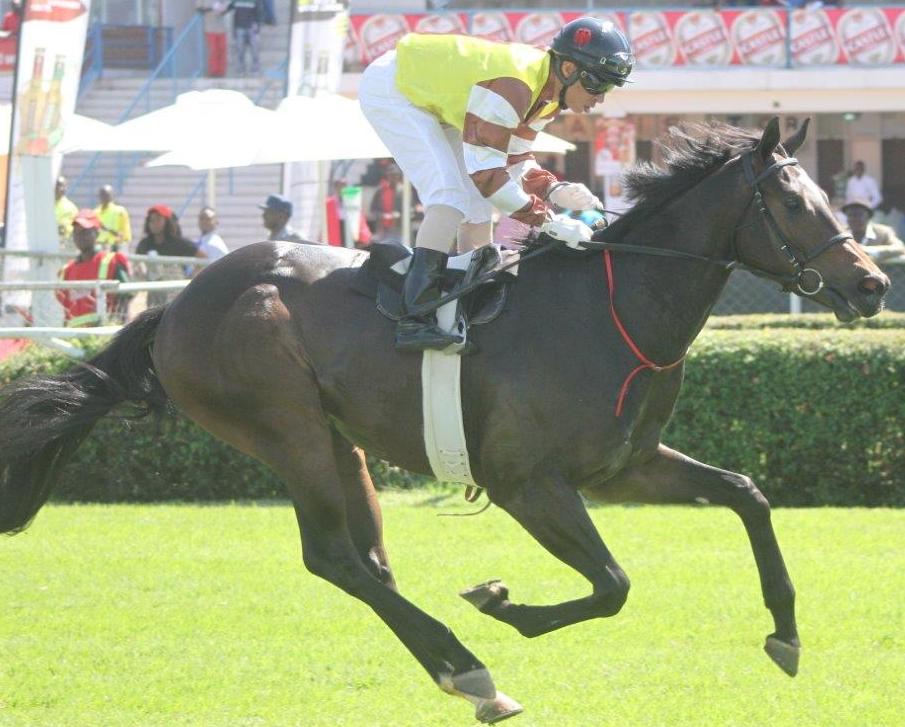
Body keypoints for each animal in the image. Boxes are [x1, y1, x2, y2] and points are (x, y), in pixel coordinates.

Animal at [0, 118, 889, 723]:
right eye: (790, 202)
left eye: (825, 196)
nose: (873, 283)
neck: (612, 309)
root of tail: (175, 304)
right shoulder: (527, 482)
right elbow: (611, 583)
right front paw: (500, 602)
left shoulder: (627, 464)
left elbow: (745, 493)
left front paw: (785, 632)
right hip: (285, 427)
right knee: (333, 556)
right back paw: (468, 664)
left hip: (338, 438)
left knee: (364, 560)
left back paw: (458, 669)